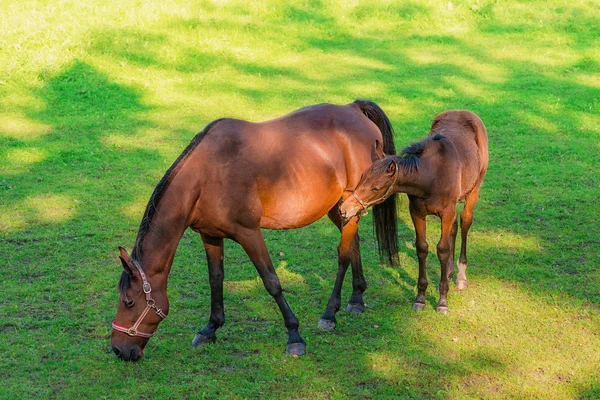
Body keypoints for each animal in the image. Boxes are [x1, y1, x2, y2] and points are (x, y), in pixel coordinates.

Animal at [110, 99, 400, 360]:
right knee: (353, 244)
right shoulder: (210, 235)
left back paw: (330, 313)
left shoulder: (249, 233)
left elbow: (271, 281)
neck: (207, 174)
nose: (119, 350)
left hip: (350, 204)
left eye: (129, 301)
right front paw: (210, 329)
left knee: (343, 254)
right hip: (341, 208)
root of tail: (353, 108)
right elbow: (215, 279)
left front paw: (294, 336)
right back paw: (356, 298)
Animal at [338, 109, 488, 312]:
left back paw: (460, 276)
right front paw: (420, 297)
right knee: (455, 227)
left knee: (465, 221)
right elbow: (422, 248)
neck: (432, 175)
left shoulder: (446, 213)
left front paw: (442, 300)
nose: (344, 209)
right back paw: (449, 272)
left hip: (473, 192)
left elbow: (442, 249)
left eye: (376, 188)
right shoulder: (417, 212)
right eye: (362, 177)